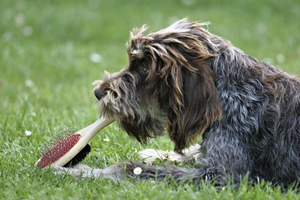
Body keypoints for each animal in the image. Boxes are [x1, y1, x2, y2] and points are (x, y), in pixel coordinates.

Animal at [53, 18, 300, 188]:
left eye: (145, 67)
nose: (98, 92)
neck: (233, 90)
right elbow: (193, 152)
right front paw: (156, 154)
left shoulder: (224, 176)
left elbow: (130, 170)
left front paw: (80, 172)